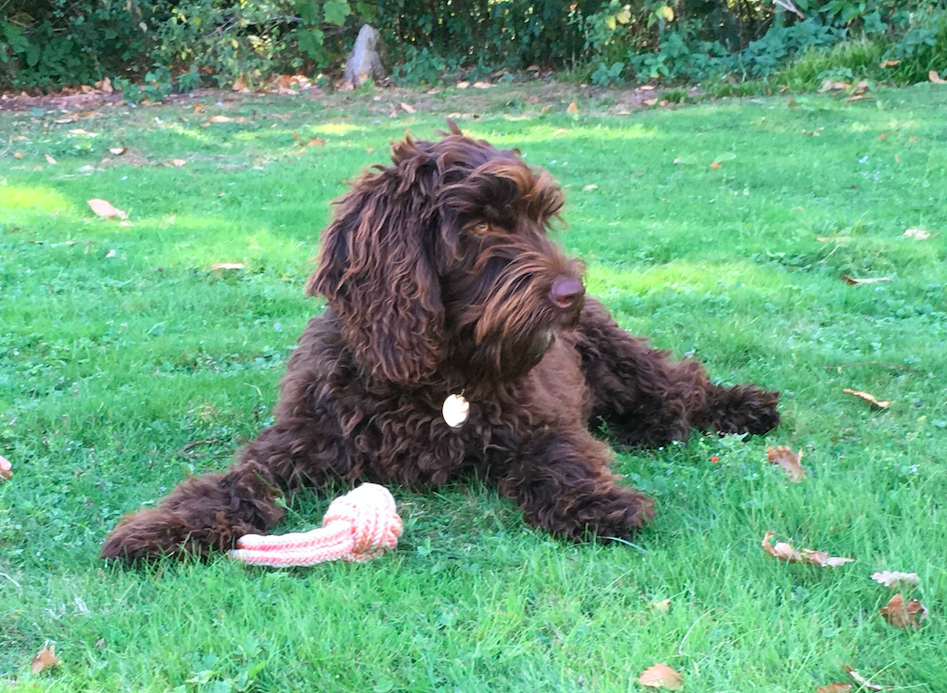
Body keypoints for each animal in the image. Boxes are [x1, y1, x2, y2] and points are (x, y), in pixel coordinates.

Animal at [100, 121, 776, 560]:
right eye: (478, 224)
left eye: (541, 218)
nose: (571, 293)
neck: (434, 373)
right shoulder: (294, 441)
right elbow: (230, 483)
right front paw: (163, 528)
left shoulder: (541, 423)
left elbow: (565, 458)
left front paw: (594, 503)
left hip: (616, 354)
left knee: (677, 383)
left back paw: (741, 407)